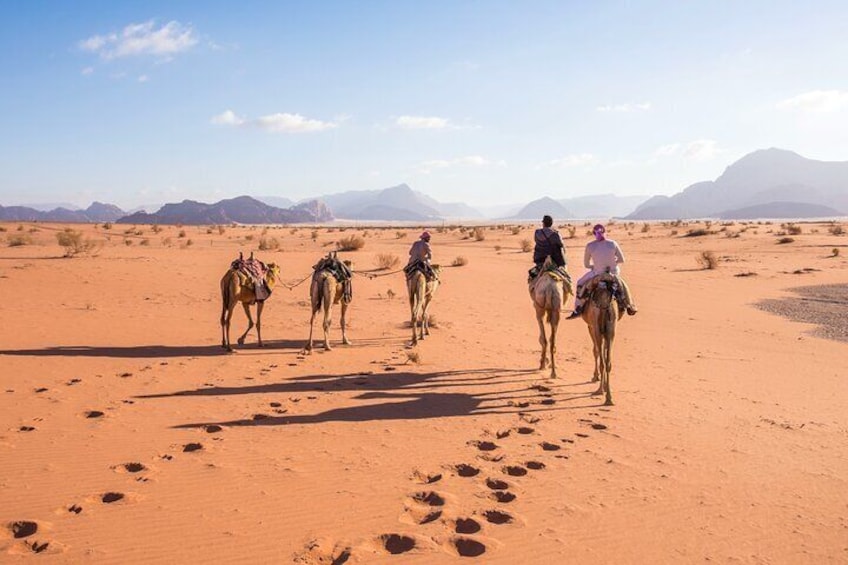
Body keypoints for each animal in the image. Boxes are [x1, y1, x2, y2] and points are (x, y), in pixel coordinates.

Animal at [584, 274, 624, 406]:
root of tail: (605, 304)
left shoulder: (591, 327)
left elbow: (595, 351)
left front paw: (595, 376)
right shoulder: (606, 333)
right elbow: (604, 353)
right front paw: (605, 385)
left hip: (597, 328)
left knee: (601, 359)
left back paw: (599, 391)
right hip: (611, 329)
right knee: (608, 362)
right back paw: (609, 398)